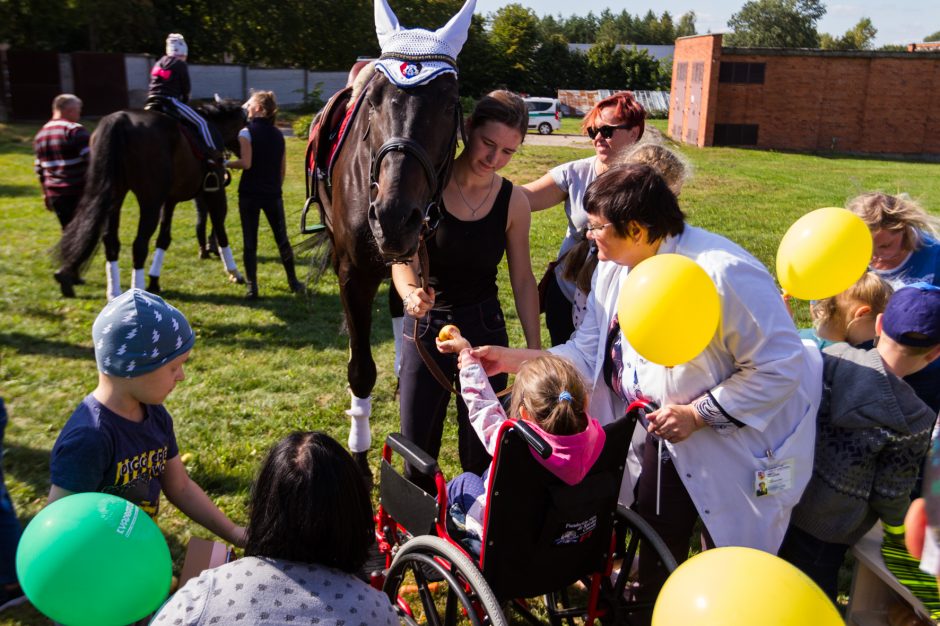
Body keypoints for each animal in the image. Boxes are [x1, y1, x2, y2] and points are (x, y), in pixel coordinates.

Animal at [54, 98, 246, 298]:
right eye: (245, 123)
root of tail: (121, 119)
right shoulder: (214, 192)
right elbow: (220, 229)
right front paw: (234, 272)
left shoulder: (169, 201)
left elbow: (164, 239)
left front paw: (154, 280)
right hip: (150, 202)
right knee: (139, 244)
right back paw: (135, 289)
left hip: (115, 199)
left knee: (111, 241)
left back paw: (114, 292)